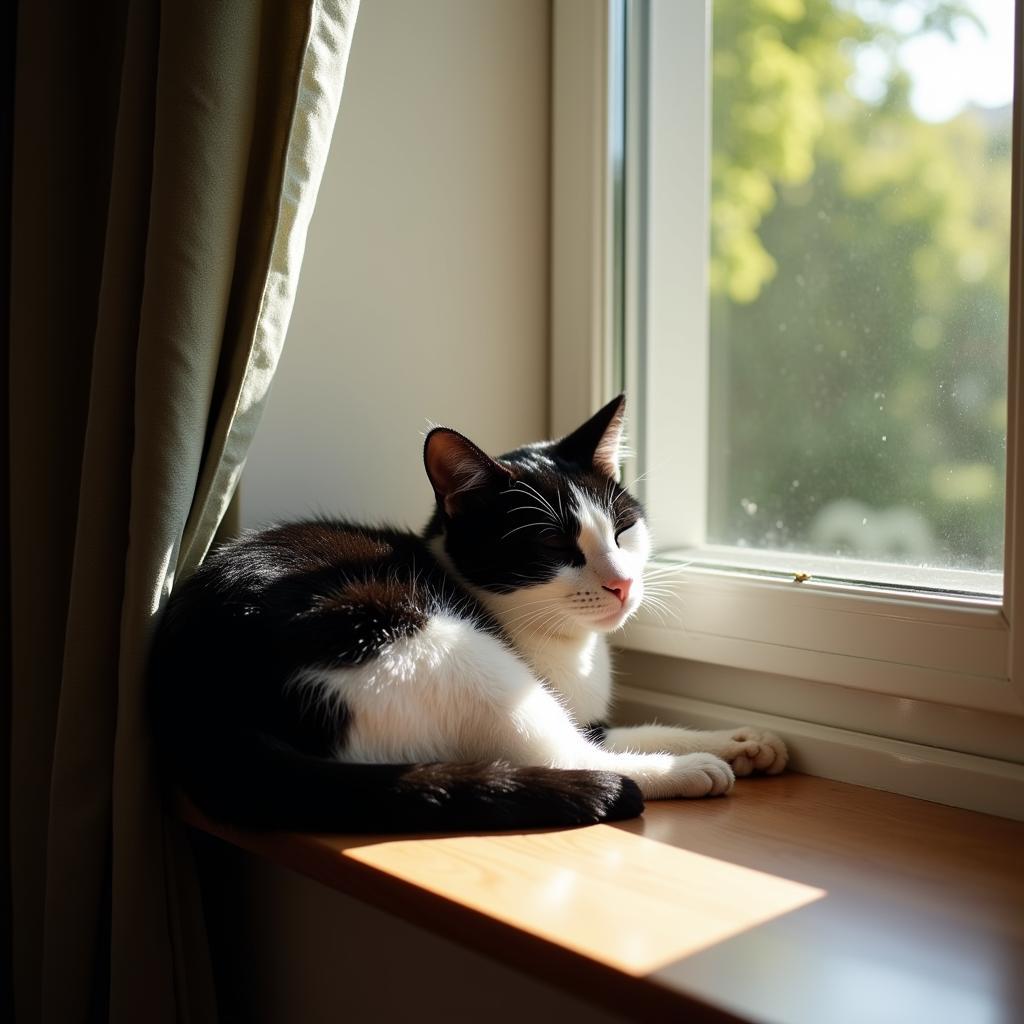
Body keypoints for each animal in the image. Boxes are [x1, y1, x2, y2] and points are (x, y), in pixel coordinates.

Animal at [151, 395, 786, 835]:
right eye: (554, 545)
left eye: (623, 530)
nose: (622, 583)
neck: (571, 653)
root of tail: (194, 707)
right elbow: (594, 742)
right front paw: (709, 755)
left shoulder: (587, 709)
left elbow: (629, 726)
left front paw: (744, 739)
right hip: (429, 643)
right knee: (569, 756)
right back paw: (686, 771)